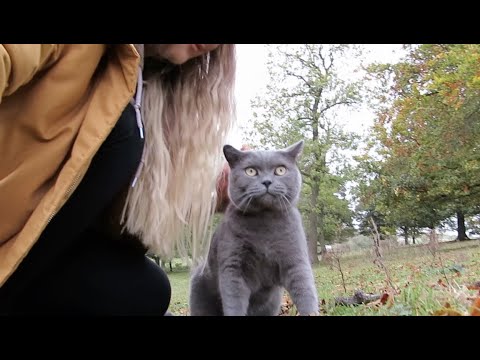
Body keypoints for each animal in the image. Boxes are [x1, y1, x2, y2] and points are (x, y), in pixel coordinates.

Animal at [188, 141, 318, 316]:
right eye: (251, 171)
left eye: (280, 170)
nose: (267, 182)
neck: (264, 223)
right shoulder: (233, 267)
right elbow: (234, 302)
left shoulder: (295, 259)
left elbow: (305, 290)